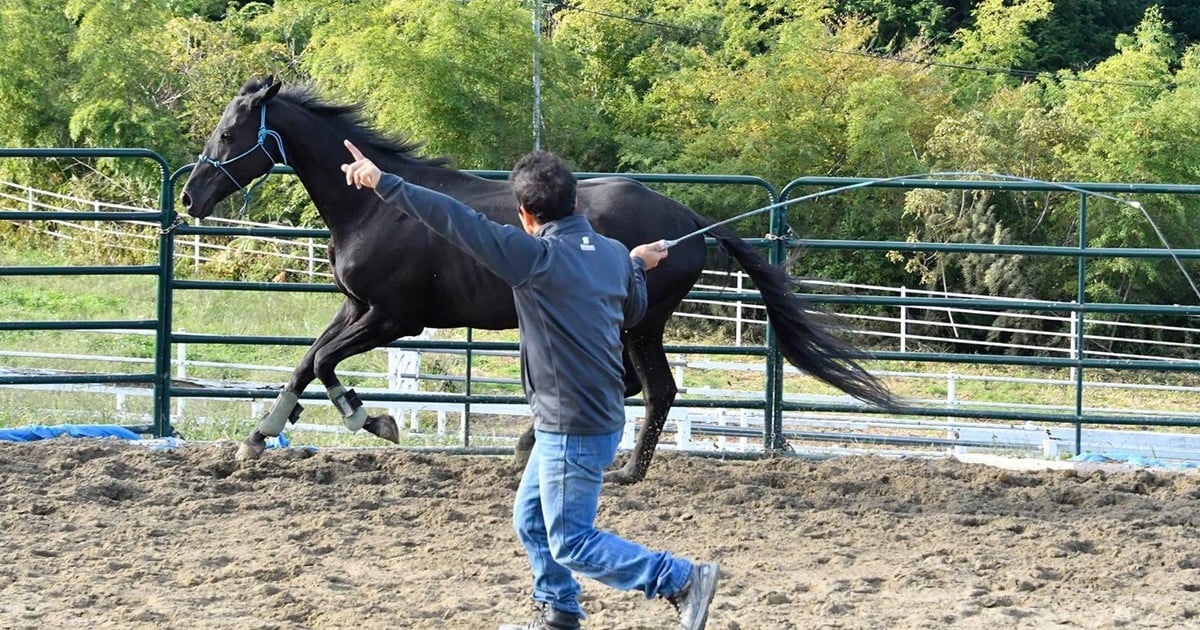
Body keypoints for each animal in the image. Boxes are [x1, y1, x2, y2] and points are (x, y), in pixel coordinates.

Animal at [177, 76, 892, 484]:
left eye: (229, 131)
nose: (190, 195)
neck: (375, 206)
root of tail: (689, 222)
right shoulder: (357, 308)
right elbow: (306, 363)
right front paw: (259, 437)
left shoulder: (393, 317)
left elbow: (324, 363)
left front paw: (373, 422)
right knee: (639, 387)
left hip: (639, 323)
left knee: (653, 388)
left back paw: (608, 467)